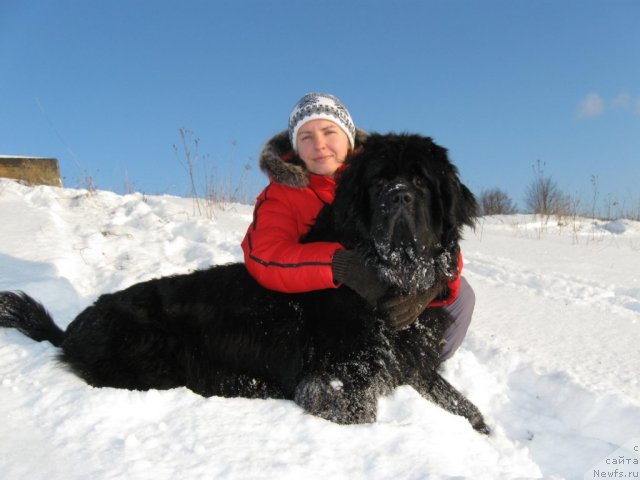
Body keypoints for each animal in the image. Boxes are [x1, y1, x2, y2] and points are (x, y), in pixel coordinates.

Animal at [0, 133, 488, 434]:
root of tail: (70, 329)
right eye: (378, 181)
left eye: (420, 180)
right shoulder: (338, 375)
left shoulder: (410, 361)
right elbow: (359, 409)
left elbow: (459, 401)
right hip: (155, 350)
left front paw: (485, 430)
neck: (388, 276)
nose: (398, 196)